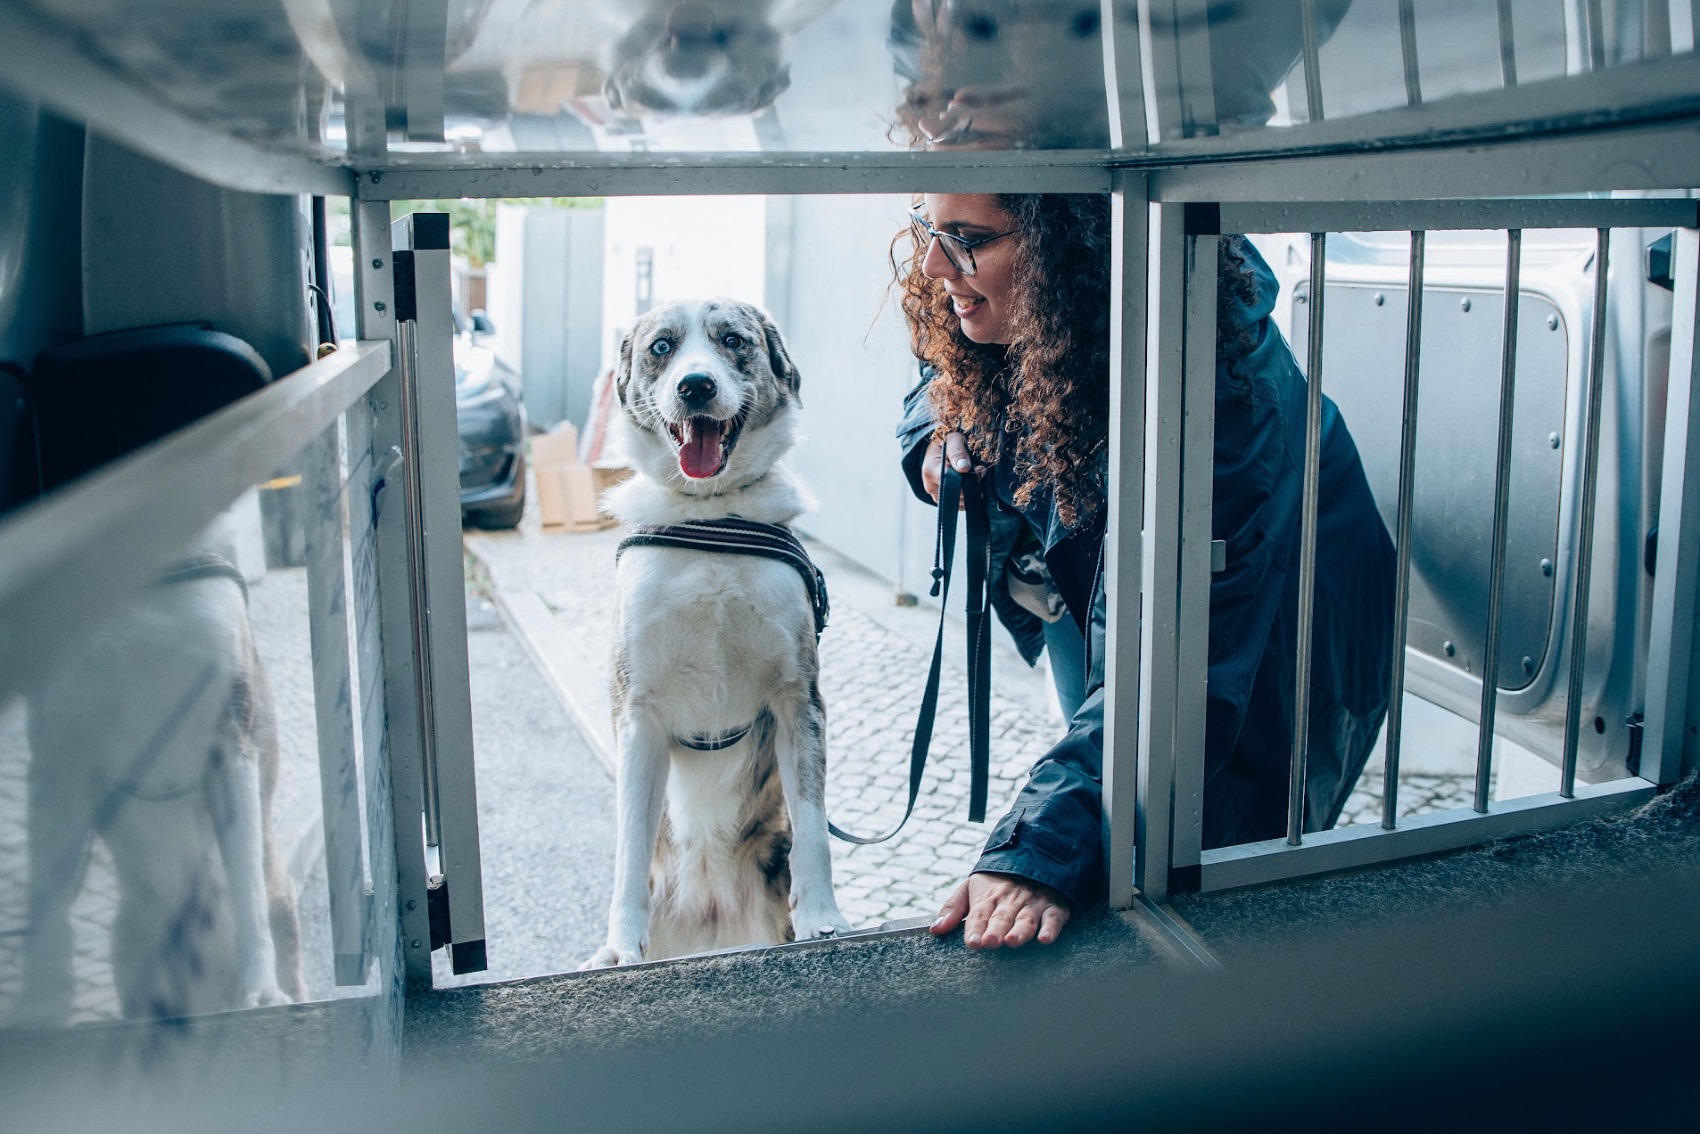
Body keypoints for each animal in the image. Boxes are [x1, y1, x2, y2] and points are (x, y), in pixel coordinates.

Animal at [15, 510, 306, 1026]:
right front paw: (39, 1009)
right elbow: (48, 904)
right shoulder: (56, 759)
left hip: (280, 907)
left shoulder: (230, 739)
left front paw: (262, 991)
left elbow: (247, 891)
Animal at [584, 295, 850, 965]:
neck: (710, 518)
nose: (696, 386)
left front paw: (824, 919)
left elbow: (814, 825)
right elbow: (630, 845)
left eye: (733, 340)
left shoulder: (799, 700)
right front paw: (621, 947)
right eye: (661, 347)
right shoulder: (637, 711)